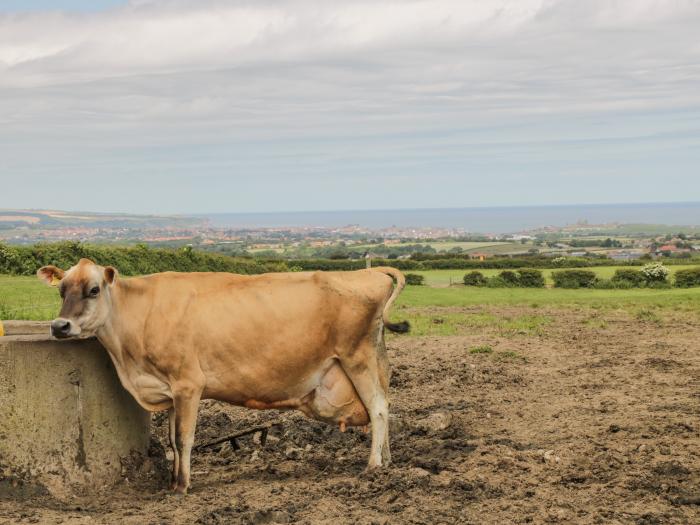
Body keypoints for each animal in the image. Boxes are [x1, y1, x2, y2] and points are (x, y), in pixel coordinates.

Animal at [37, 260, 410, 494]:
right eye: (61, 290)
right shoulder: (170, 391)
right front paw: (172, 480)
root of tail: (369, 272)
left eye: (94, 289)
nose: (60, 326)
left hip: (357, 357)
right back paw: (388, 462)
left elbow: (184, 439)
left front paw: (182, 486)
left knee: (378, 409)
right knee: (386, 405)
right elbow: (172, 439)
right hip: (374, 359)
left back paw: (373, 466)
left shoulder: (189, 384)